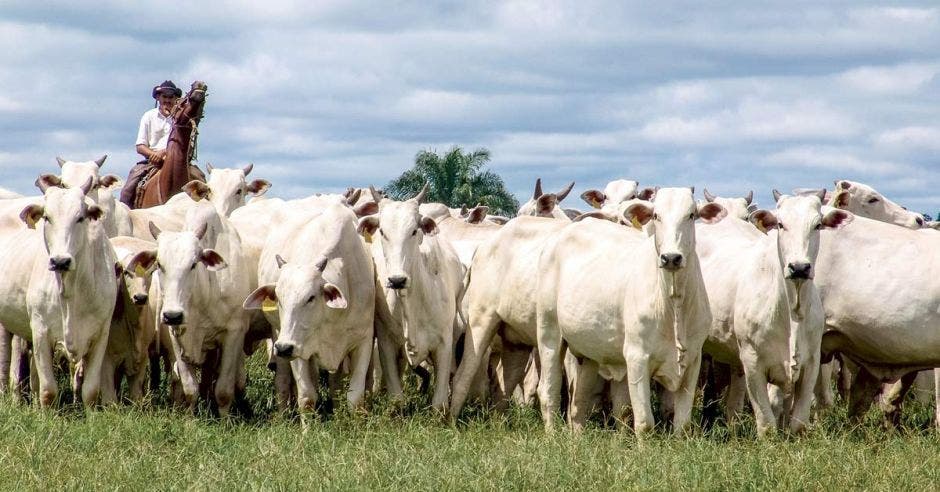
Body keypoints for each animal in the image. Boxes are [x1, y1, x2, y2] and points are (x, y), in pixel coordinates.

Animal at [0, 179, 118, 406]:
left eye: (80, 217)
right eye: (47, 217)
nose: (60, 261)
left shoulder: (102, 334)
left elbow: (90, 391)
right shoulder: (40, 331)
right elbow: (48, 391)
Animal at [244, 200, 376, 412]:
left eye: (311, 297)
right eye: (279, 298)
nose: (283, 348)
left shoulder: (363, 340)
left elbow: (354, 398)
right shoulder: (298, 347)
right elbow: (307, 397)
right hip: (279, 334)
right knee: (283, 380)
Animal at [358, 186, 464, 410]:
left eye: (414, 231)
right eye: (382, 232)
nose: (397, 280)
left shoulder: (444, 344)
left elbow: (439, 402)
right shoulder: (386, 343)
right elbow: (396, 397)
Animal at [536, 188, 728, 434]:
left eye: (691, 214)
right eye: (656, 215)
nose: (671, 258)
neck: (673, 305)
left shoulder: (693, 360)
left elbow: (682, 423)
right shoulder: (637, 358)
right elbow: (644, 422)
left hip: (586, 353)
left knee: (579, 402)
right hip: (549, 333)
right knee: (548, 391)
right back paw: (552, 433)